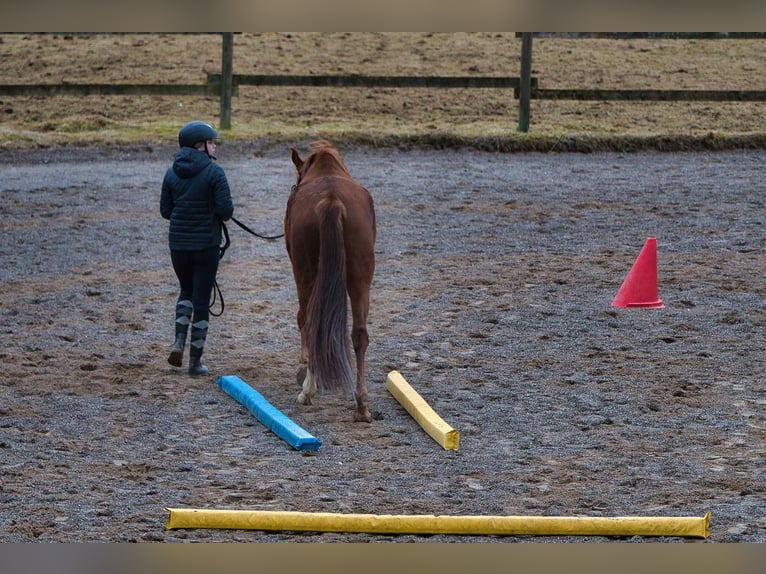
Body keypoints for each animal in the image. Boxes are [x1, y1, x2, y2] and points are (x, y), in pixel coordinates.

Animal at [284, 141, 378, 424]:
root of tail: (332, 200)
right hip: (360, 279)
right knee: (359, 334)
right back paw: (361, 405)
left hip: (306, 274)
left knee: (311, 322)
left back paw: (308, 392)